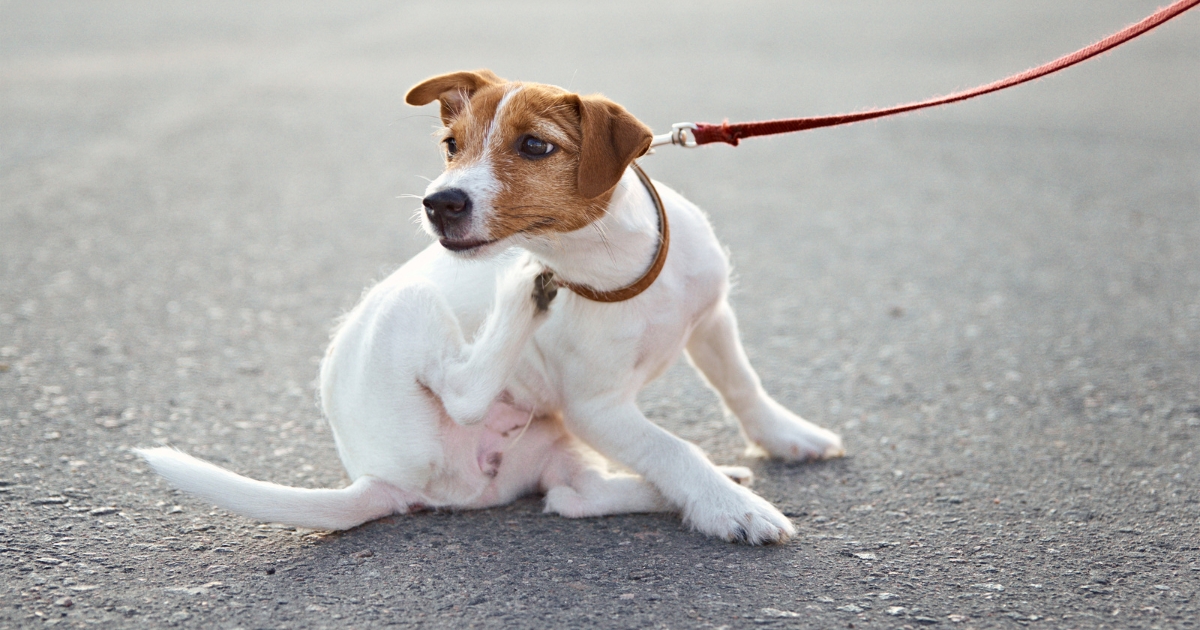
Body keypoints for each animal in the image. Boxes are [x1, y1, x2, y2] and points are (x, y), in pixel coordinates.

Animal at [138, 67, 844, 540]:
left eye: (535, 145)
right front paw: (732, 510)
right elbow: (674, 449)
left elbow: (743, 388)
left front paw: (786, 440)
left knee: (573, 497)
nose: (439, 202)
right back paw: (520, 294)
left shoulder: (711, 320)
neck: (611, 270)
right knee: (464, 392)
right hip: (410, 307)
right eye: (451, 145)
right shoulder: (598, 408)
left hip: (555, 446)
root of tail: (377, 476)